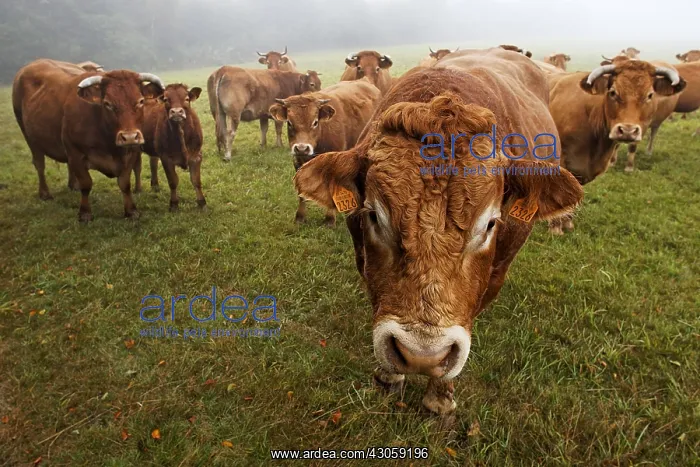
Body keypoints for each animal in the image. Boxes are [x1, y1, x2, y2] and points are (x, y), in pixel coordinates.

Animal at [13, 59, 165, 221]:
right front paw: (85, 213)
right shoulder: (75, 152)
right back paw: (45, 193)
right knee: (40, 164)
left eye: (141, 101)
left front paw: (131, 211)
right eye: (107, 104)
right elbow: (86, 184)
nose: (129, 137)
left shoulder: (132, 152)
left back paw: (73, 186)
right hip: (29, 136)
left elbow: (125, 183)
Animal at [140, 84, 206, 212]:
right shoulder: (166, 158)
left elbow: (196, 180)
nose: (176, 112)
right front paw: (174, 204)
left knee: (153, 162)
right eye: (166, 99)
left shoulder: (196, 155)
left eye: (187, 99)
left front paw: (202, 203)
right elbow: (173, 181)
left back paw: (155, 185)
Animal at [269, 79, 381, 226]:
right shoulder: (297, 162)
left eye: (315, 122)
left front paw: (329, 219)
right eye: (289, 123)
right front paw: (300, 217)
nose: (302, 148)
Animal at [294, 48, 584, 414]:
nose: (421, 355)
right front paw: (389, 378)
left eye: (491, 223)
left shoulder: (493, 278)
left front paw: (440, 396)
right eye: (373, 215)